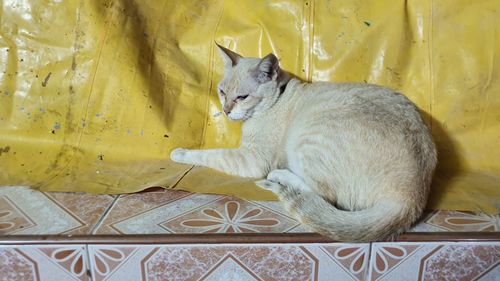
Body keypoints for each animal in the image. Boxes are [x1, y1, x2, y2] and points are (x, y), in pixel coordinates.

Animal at [170, 43, 436, 241]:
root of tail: (410, 198)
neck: (278, 97)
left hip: (309, 139)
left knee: (322, 194)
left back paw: (280, 176)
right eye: (222, 92)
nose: (225, 111)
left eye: (242, 97)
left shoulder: (252, 160)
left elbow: (208, 153)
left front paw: (179, 153)